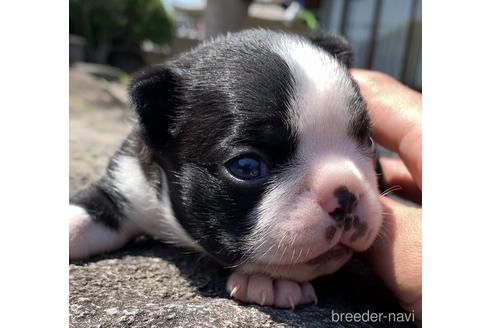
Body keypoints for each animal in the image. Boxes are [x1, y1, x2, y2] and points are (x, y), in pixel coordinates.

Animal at [69, 29, 384, 308]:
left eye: (369, 142)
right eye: (246, 166)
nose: (347, 194)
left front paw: (272, 280)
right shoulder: (125, 180)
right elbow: (84, 214)